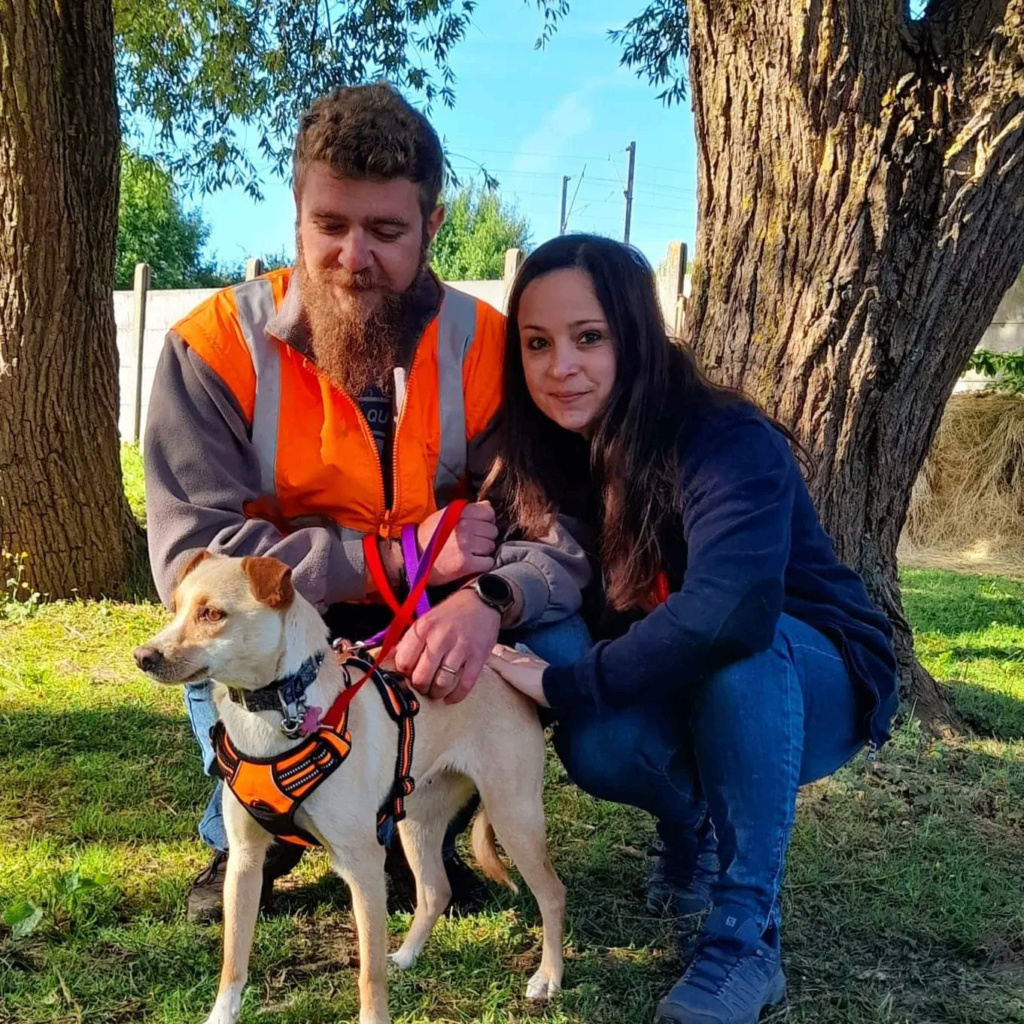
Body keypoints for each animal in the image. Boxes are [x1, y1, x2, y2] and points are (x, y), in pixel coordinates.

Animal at [134, 552, 569, 1024]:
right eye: (177, 607)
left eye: (212, 614)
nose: (142, 656)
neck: (276, 713)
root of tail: (502, 675)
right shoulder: (245, 862)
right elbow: (233, 960)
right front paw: (221, 1015)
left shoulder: (362, 865)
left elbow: (368, 974)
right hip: (416, 822)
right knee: (435, 890)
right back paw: (407, 956)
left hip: (513, 816)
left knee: (551, 893)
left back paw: (548, 977)